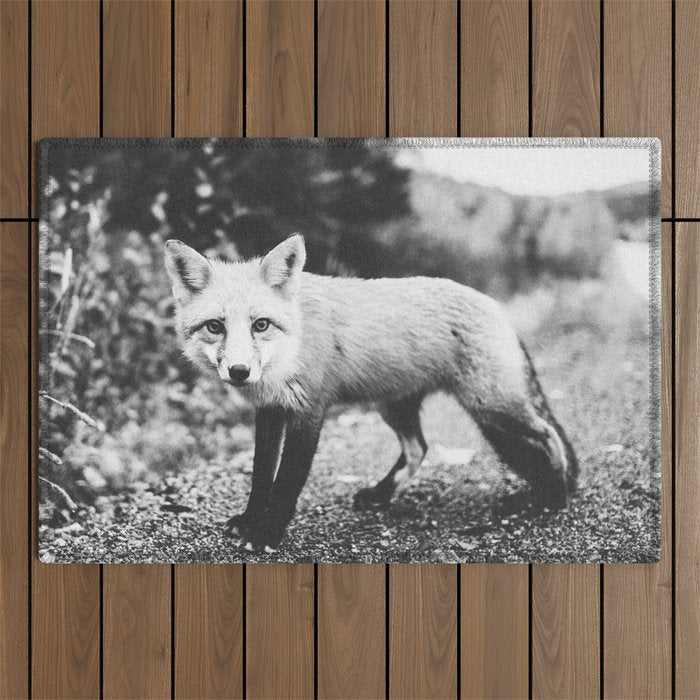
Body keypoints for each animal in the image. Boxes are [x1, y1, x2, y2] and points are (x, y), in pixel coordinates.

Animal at [165, 234, 577, 551]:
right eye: (215, 327)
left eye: (261, 325)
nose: (239, 372)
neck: (292, 345)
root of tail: (497, 306)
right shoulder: (270, 411)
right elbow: (261, 476)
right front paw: (251, 519)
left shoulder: (309, 411)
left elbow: (286, 483)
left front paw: (267, 533)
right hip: (395, 407)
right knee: (418, 448)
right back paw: (381, 495)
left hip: (492, 405)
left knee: (549, 433)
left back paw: (554, 496)